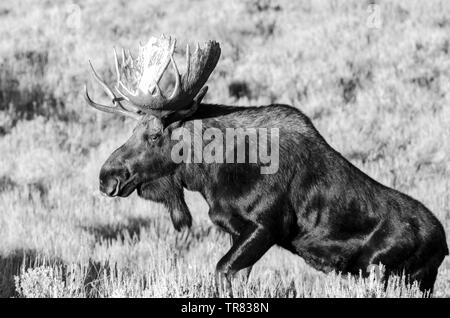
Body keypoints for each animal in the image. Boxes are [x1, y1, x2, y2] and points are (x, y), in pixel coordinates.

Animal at [83, 34, 446, 296]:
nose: (106, 177)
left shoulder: (266, 226)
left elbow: (221, 271)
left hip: (388, 273)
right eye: (132, 130)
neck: (212, 176)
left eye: (155, 134)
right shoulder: (237, 230)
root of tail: (444, 245)